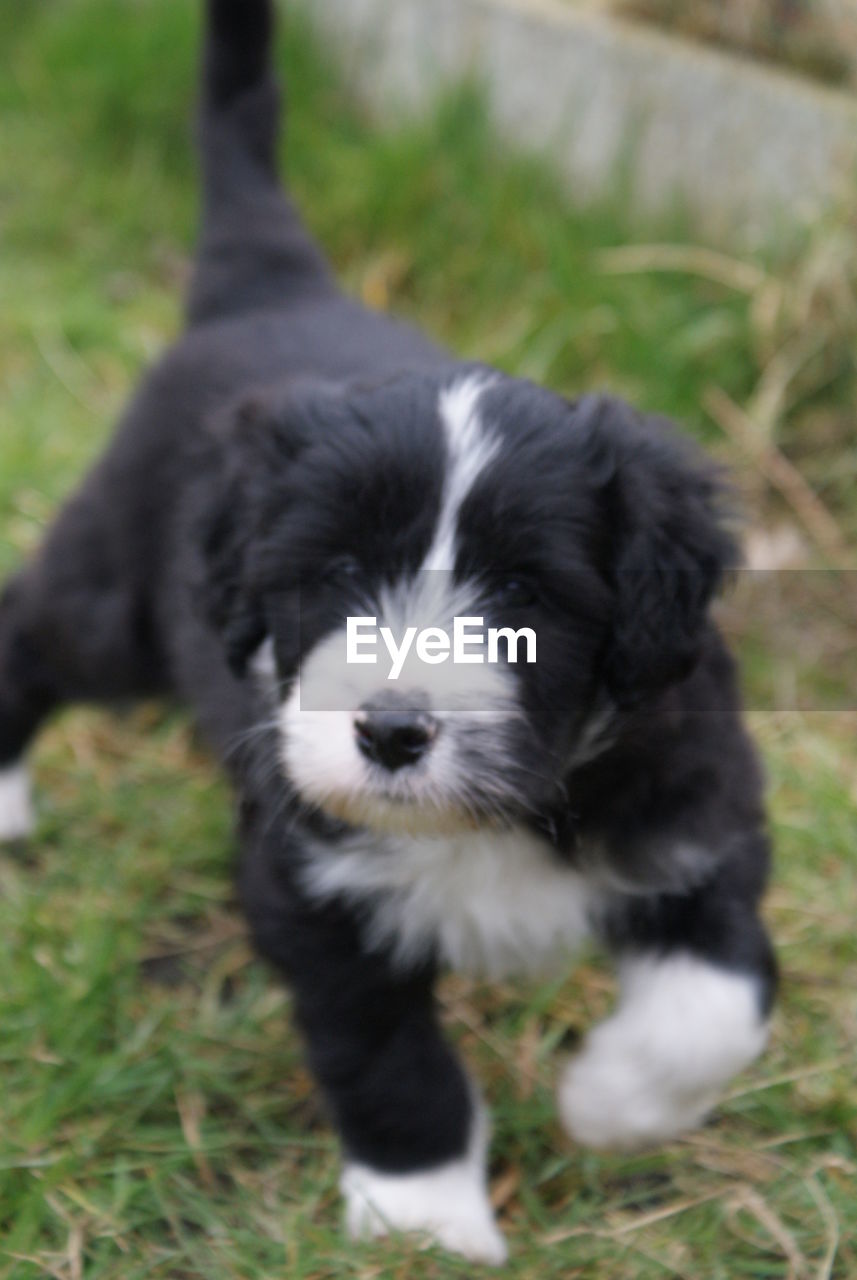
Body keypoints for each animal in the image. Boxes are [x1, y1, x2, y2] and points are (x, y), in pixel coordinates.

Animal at [0, 0, 777, 1259]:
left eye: (524, 593)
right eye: (339, 571)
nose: (392, 733)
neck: (493, 815)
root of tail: (272, 286)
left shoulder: (693, 815)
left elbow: (713, 1003)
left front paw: (608, 1105)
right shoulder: (312, 881)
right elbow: (390, 1058)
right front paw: (426, 1220)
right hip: (117, 599)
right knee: (32, 628)